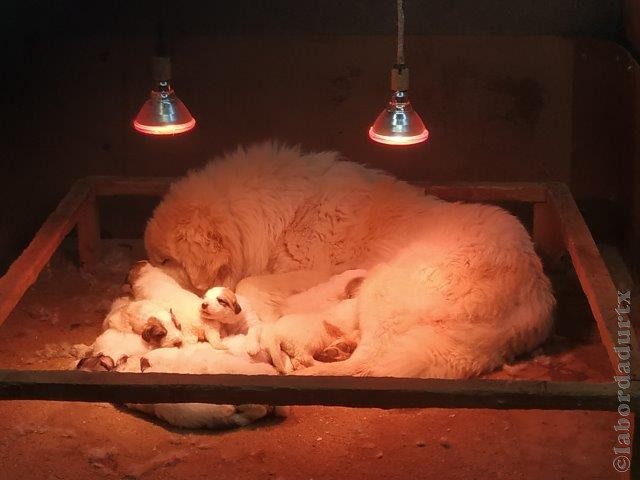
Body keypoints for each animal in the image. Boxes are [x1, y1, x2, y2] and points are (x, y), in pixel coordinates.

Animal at [145, 142, 556, 378]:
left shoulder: (314, 270)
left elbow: (250, 282)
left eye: (166, 260)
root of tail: (535, 295)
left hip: (384, 288)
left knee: (366, 366)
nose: (137, 270)